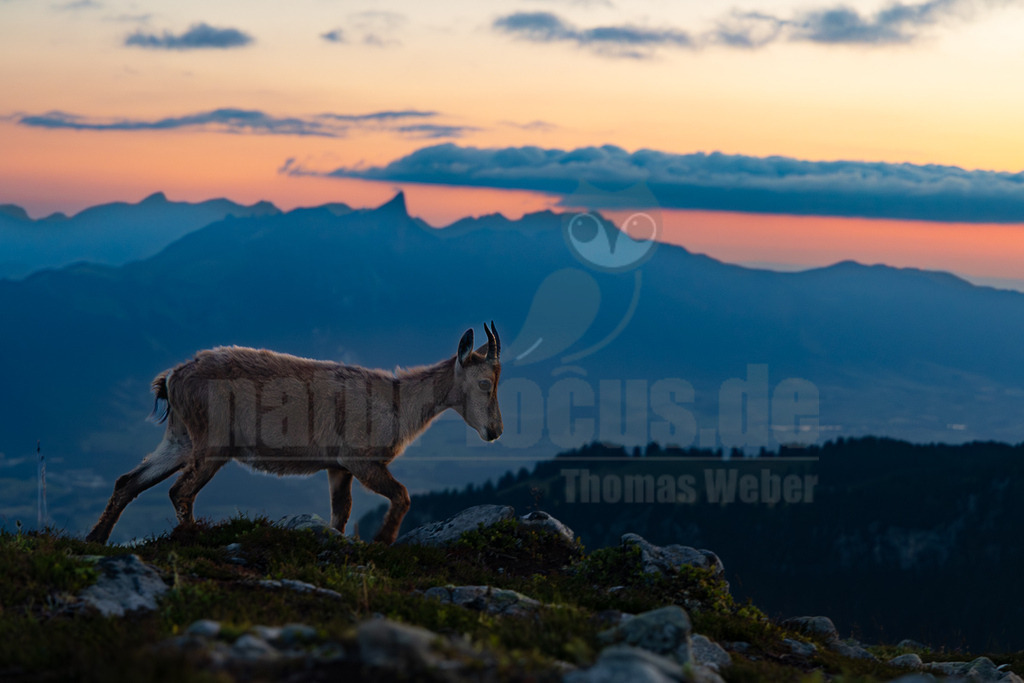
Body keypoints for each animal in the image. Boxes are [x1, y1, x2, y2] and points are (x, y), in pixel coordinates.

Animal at [86, 323, 502, 545]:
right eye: (485, 383)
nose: (495, 430)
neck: (398, 402)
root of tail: (172, 377)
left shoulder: (338, 467)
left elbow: (340, 513)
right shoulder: (360, 460)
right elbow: (402, 495)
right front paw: (383, 540)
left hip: (180, 438)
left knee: (129, 481)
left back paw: (96, 538)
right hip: (213, 442)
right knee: (179, 490)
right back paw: (194, 537)